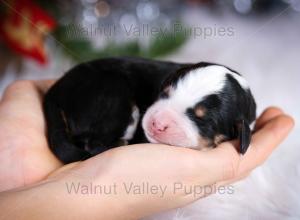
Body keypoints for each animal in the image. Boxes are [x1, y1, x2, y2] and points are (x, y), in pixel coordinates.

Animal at [44, 56, 255, 163]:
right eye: (164, 92)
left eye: (203, 120)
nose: (158, 124)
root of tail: (54, 92)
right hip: (114, 96)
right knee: (94, 145)